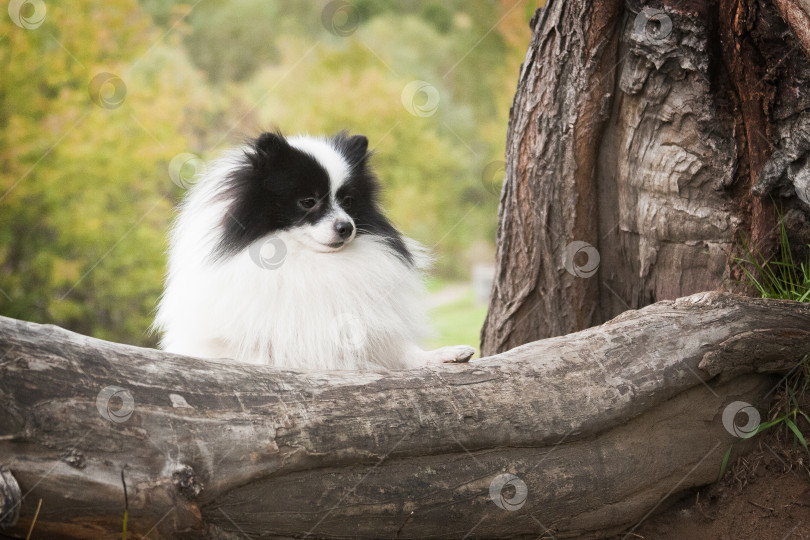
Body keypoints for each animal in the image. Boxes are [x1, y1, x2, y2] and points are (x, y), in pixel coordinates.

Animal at [153, 130, 474, 372]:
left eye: (348, 200)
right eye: (308, 201)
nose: (346, 227)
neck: (307, 260)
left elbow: (404, 351)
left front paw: (443, 354)